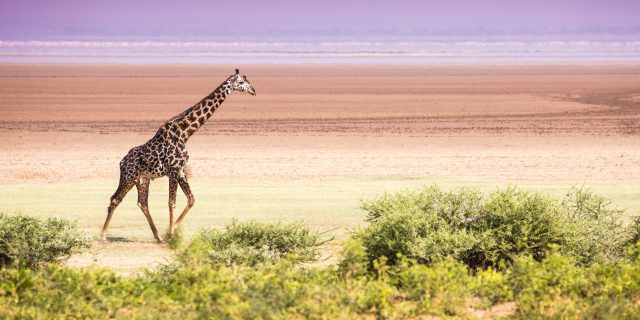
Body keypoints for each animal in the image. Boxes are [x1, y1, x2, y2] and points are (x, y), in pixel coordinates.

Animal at [100, 68, 255, 242]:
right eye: (241, 82)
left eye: (247, 80)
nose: (254, 90)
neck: (185, 133)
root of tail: (121, 162)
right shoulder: (173, 170)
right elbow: (171, 202)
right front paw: (171, 234)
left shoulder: (181, 170)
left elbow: (191, 199)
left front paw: (171, 230)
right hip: (129, 176)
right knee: (115, 199)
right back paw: (103, 235)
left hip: (143, 180)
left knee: (142, 203)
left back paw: (158, 236)